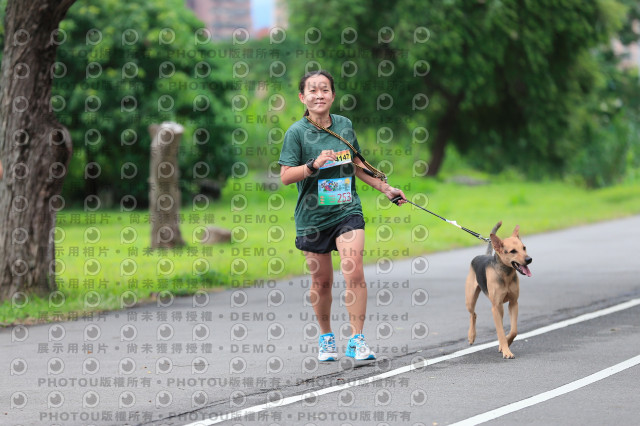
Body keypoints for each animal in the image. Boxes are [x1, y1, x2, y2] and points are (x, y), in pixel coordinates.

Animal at [464, 221, 528, 358]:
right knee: (473, 314)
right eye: (513, 251)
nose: (529, 259)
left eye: (524, 248)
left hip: (501, 308)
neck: (506, 274)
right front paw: (506, 351)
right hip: (471, 300)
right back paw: (471, 336)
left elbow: (513, 331)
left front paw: (505, 345)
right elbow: (500, 332)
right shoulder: (495, 307)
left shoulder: (513, 303)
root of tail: (484, 255)